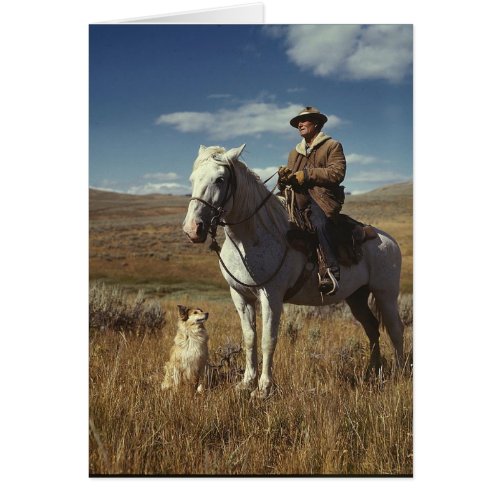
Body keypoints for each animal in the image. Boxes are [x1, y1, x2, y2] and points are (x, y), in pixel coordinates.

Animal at [184, 145, 406, 398]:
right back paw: (372, 372)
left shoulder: (271, 295)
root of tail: (388, 240)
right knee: (372, 329)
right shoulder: (240, 296)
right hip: (356, 297)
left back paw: (398, 374)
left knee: (396, 330)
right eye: (192, 178)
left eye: (220, 179)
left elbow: (268, 340)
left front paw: (263, 388)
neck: (252, 236)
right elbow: (249, 338)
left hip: (385, 293)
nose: (192, 229)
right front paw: (246, 383)